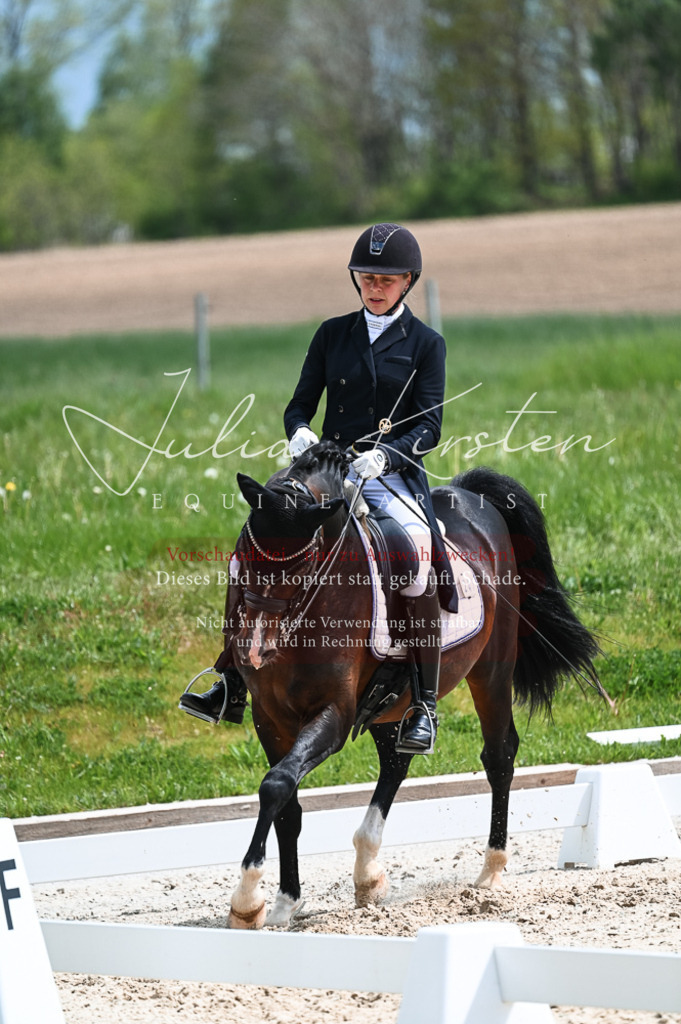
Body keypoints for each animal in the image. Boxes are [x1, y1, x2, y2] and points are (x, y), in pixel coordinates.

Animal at [223, 441, 602, 930]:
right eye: (242, 553)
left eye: (304, 562)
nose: (254, 650)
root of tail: (465, 494)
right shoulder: (268, 716)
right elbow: (286, 801)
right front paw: (285, 901)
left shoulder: (334, 714)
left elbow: (276, 784)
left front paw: (247, 900)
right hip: (394, 699)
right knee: (395, 763)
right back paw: (368, 871)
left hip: (490, 672)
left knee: (498, 755)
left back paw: (491, 871)